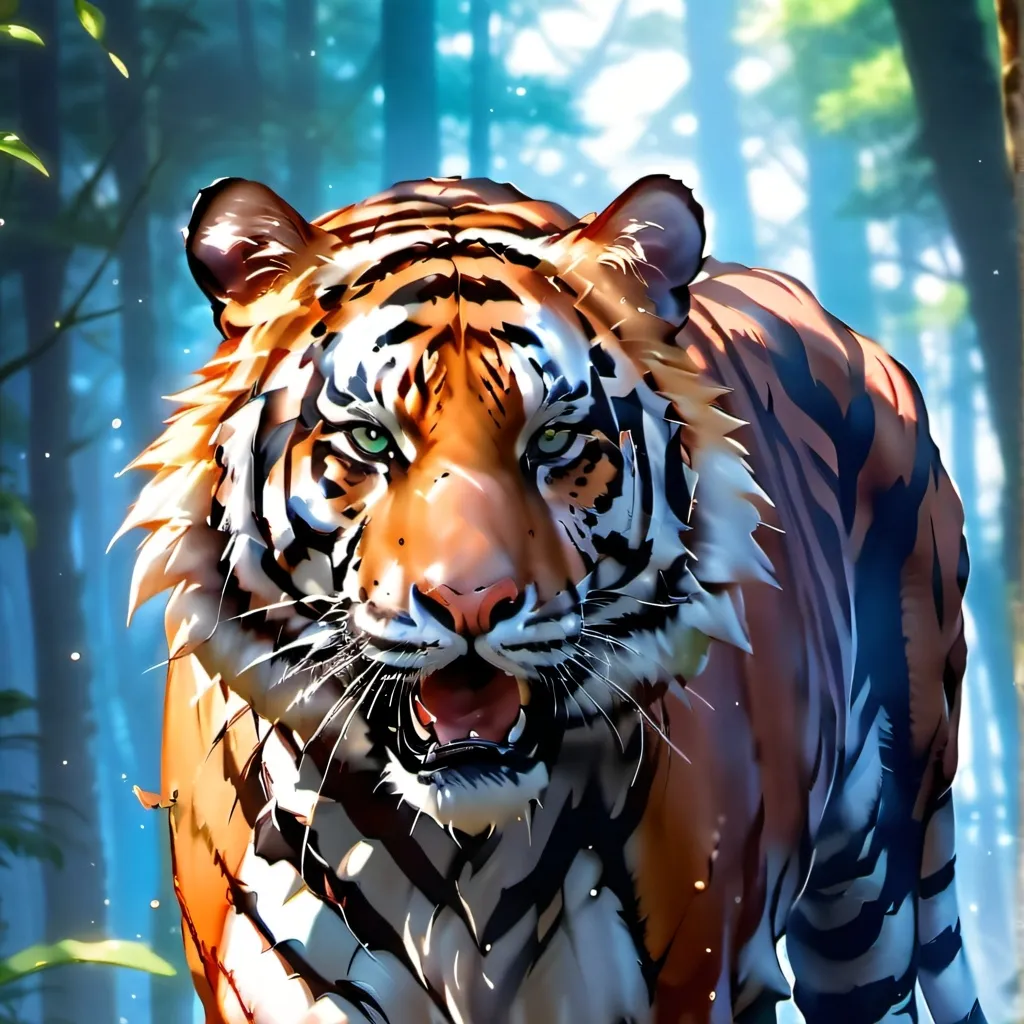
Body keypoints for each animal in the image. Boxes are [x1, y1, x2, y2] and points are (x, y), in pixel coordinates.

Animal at [116, 173, 987, 1024]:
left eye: (554, 440)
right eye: (371, 439)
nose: (470, 603)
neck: (460, 860)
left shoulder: (690, 983)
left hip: (875, 877)